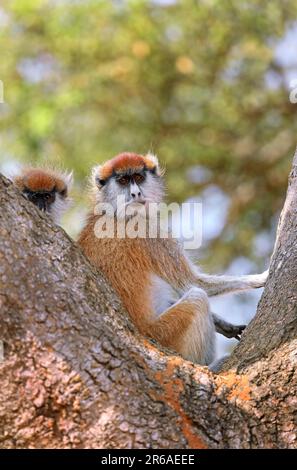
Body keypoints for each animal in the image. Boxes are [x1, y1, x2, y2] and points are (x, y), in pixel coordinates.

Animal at [78, 152, 266, 366]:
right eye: (123, 181)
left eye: (139, 177)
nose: (136, 194)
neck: (111, 212)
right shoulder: (147, 231)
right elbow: (193, 283)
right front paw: (262, 277)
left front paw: (224, 324)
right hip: (165, 334)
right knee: (197, 298)